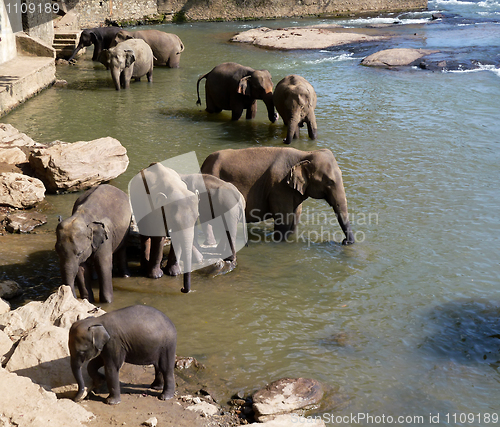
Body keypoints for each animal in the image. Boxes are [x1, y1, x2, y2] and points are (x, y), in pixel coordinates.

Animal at [129, 164, 199, 294]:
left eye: (197, 217)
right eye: (175, 220)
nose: (182, 289)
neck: (176, 189)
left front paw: (174, 273)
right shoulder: (156, 210)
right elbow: (158, 237)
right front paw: (156, 276)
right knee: (145, 234)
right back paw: (145, 266)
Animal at [200, 147, 356, 244]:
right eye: (330, 181)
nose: (345, 242)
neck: (305, 154)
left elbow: (294, 219)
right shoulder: (279, 187)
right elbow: (283, 221)